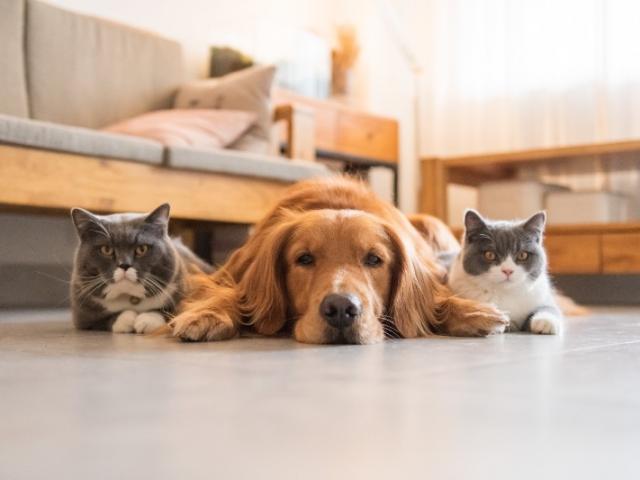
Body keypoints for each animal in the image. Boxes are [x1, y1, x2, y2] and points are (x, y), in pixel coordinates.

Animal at [70, 202, 211, 334]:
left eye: (142, 249)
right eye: (106, 249)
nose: (124, 265)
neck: (131, 297)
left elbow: (172, 311)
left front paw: (147, 320)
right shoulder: (82, 315)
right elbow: (102, 320)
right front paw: (126, 319)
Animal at [169, 178, 504, 344]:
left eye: (374, 259)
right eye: (304, 258)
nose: (341, 309)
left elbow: (438, 298)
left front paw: (472, 311)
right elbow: (228, 293)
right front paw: (206, 314)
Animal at [448, 208, 564, 336]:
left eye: (523, 255)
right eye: (490, 255)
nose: (508, 270)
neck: (506, 292)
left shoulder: (541, 294)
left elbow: (551, 307)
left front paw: (545, 321)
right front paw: (492, 320)